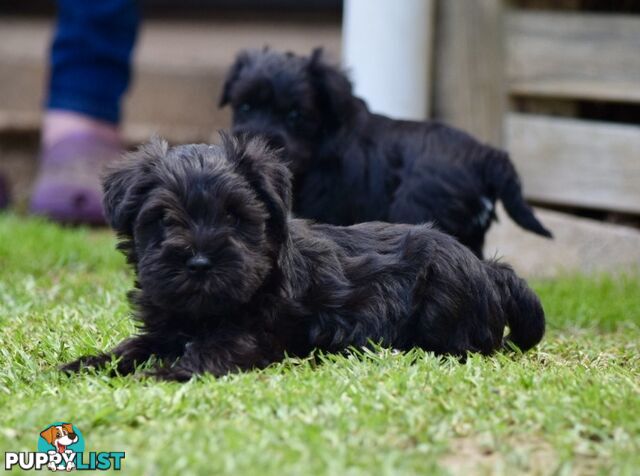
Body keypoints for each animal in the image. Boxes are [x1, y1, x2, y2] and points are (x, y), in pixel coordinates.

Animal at [62, 136, 544, 382]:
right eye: (163, 218)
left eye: (234, 216)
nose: (198, 262)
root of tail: (489, 270)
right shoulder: (165, 327)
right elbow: (133, 346)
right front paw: (89, 364)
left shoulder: (253, 335)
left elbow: (206, 353)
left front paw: (159, 375)